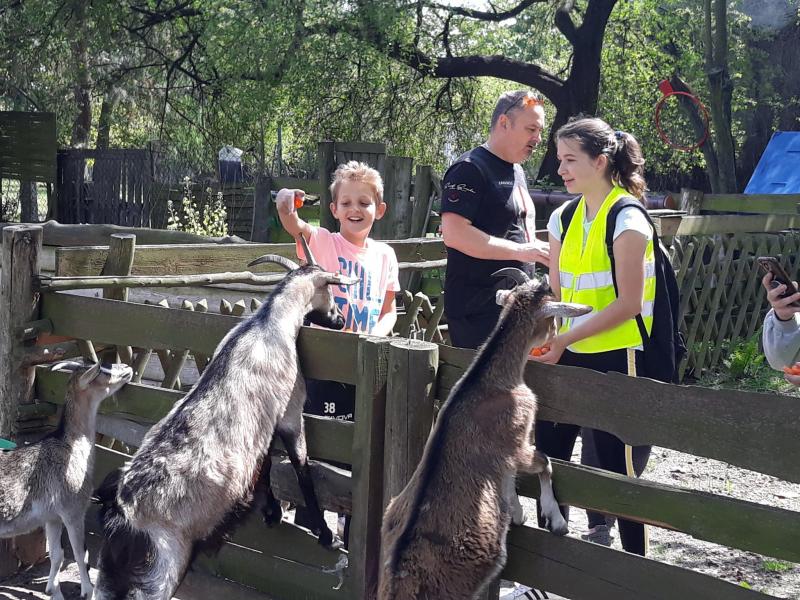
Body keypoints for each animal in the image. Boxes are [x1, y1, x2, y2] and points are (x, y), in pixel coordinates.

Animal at [0, 361, 133, 600]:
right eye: (103, 370)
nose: (127, 367)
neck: (71, 447)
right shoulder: (73, 510)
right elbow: (81, 554)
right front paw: (87, 590)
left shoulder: (52, 517)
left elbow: (57, 554)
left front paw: (53, 591)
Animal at [94, 238, 356, 600]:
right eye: (331, 289)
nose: (339, 319)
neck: (270, 324)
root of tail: (122, 511)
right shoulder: (290, 413)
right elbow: (301, 468)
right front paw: (325, 535)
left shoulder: (261, 429)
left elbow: (266, 465)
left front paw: (272, 512)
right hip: (158, 573)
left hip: (108, 576)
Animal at [378, 270, 592, 600]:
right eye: (552, 317)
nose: (555, 335)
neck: (488, 381)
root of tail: (402, 575)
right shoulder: (517, 440)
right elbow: (544, 463)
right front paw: (554, 519)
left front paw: (516, 511)